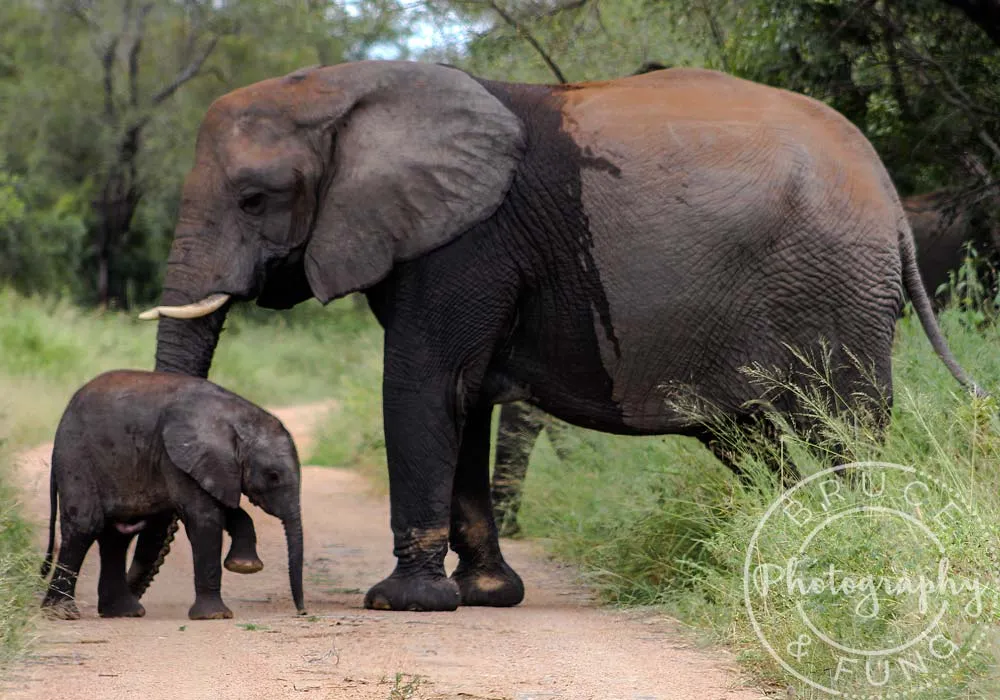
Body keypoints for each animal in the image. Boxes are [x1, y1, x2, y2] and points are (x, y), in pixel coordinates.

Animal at [40, 370, 305, 620]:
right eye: (273, 476)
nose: (302, 611)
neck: (238, 418)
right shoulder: (178, 457)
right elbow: (205, 517)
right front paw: (215, 616)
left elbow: (227, 509)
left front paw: (244, 566)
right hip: (76, 458)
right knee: (85, 526)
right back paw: (61, 614)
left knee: (117, 536)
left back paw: (124, 612)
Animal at [138, 60, 981, 612]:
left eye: (254, 198)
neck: (346, 90)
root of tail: (890, 200)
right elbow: (464, 397)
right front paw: (486, 595)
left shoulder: (467, 244)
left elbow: (424, 383)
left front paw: (402, 603)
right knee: (760, 441)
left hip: (837, 295)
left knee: (844, 429)